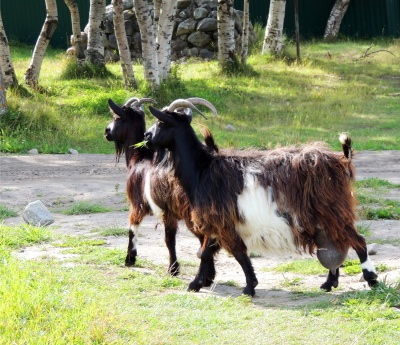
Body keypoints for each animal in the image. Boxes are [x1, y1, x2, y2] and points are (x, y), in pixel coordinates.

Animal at [104, 98, 217, 276]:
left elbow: (135, 229)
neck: (140, 158)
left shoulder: (139, 204)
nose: (106, 131)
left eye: (116, 118)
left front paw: (131, 259)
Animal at [144, 107, 378, 296]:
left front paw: (247, 287)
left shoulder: (220, 220)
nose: (146, 136)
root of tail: (342, 160)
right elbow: (209, 251)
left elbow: (231, 253)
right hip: (325, 217)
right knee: (335, 243)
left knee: (358, 241)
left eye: (161, 122)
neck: (202, 169)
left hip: (334, 210)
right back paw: (329, 283)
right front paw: (201, 282)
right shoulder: (219, 223)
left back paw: (371, 279)